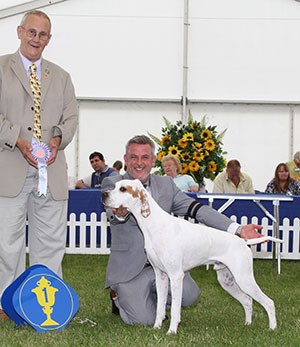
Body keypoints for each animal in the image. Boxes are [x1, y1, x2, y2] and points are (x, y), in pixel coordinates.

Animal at [102, 179, 282, 334]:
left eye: (123, 189)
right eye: (114, 186)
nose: (103, 194)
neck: (154, 225)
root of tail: (243, 241)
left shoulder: (175, 276)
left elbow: (175, 308)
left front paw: (171, 331)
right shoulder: (161, 276)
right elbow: (160, 307)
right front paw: (156, 327)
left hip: (244, 278)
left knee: (269, 302)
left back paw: (272, 328)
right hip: (227, 281)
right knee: (248, 300)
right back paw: (247, 324)